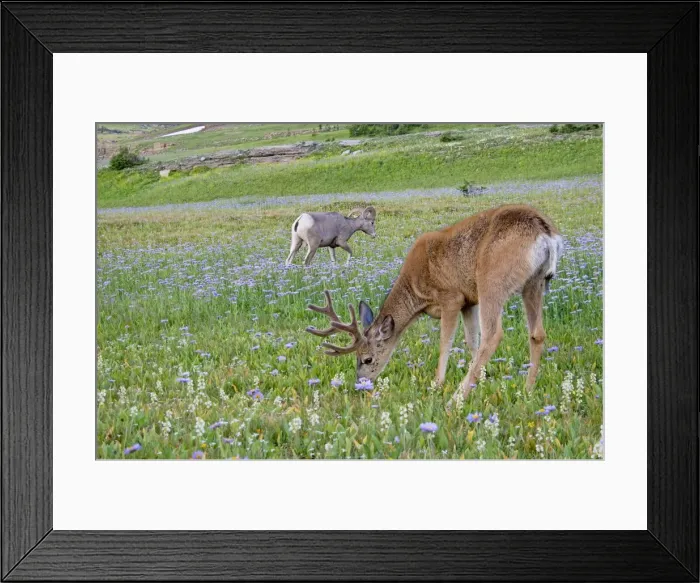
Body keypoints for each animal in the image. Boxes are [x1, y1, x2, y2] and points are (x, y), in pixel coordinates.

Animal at [305, 204, 563, 398]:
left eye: (367, 358)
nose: (360, 384)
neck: (416, 292)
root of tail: (546, 233)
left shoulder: (452, 297)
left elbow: (445, 342)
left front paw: (438, 383)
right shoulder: (469, 301)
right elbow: (471, 341)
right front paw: (483, 379)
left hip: (492, 280)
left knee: (493, 334)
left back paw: (456, 398)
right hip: (534, 282)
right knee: (536, 333)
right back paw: (527, 389)